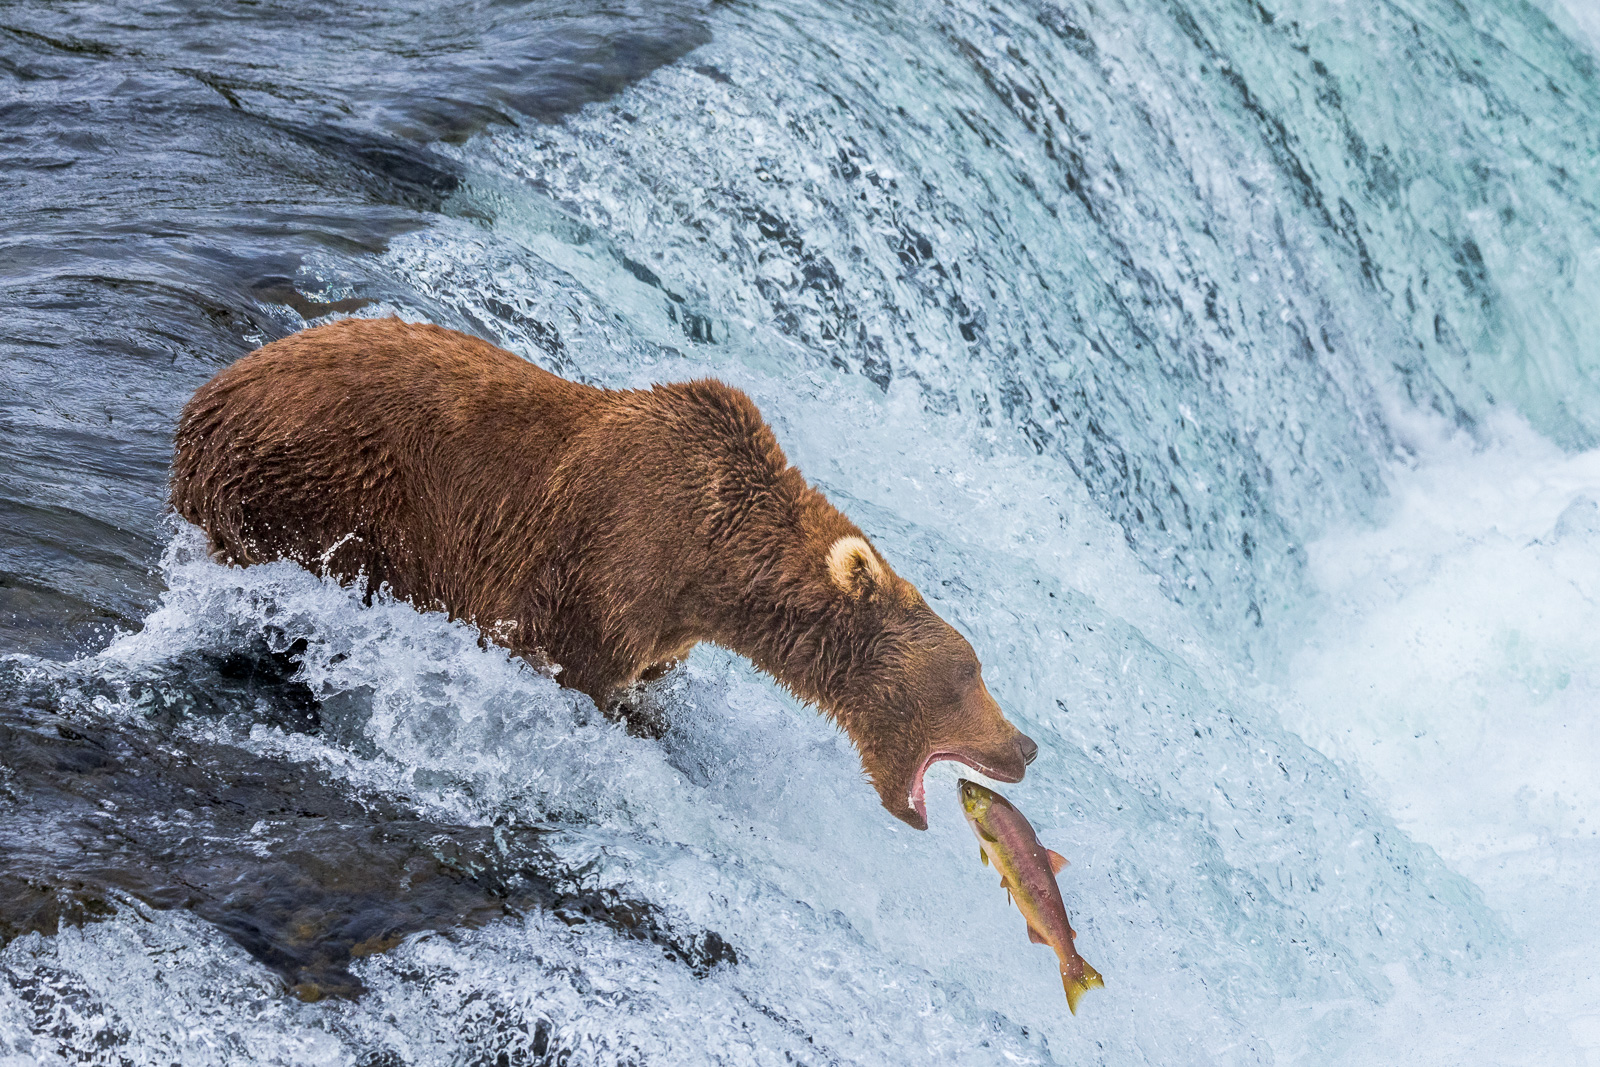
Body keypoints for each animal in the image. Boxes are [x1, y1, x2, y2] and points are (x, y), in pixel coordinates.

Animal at [170, 317, 1036, 828]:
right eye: (969, 675)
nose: (1025, 746)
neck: (716, 563)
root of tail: (202, 397)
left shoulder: (665, 624)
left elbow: (643, 689)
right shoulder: (607, 565)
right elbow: (573, 665)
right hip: (311, 489)